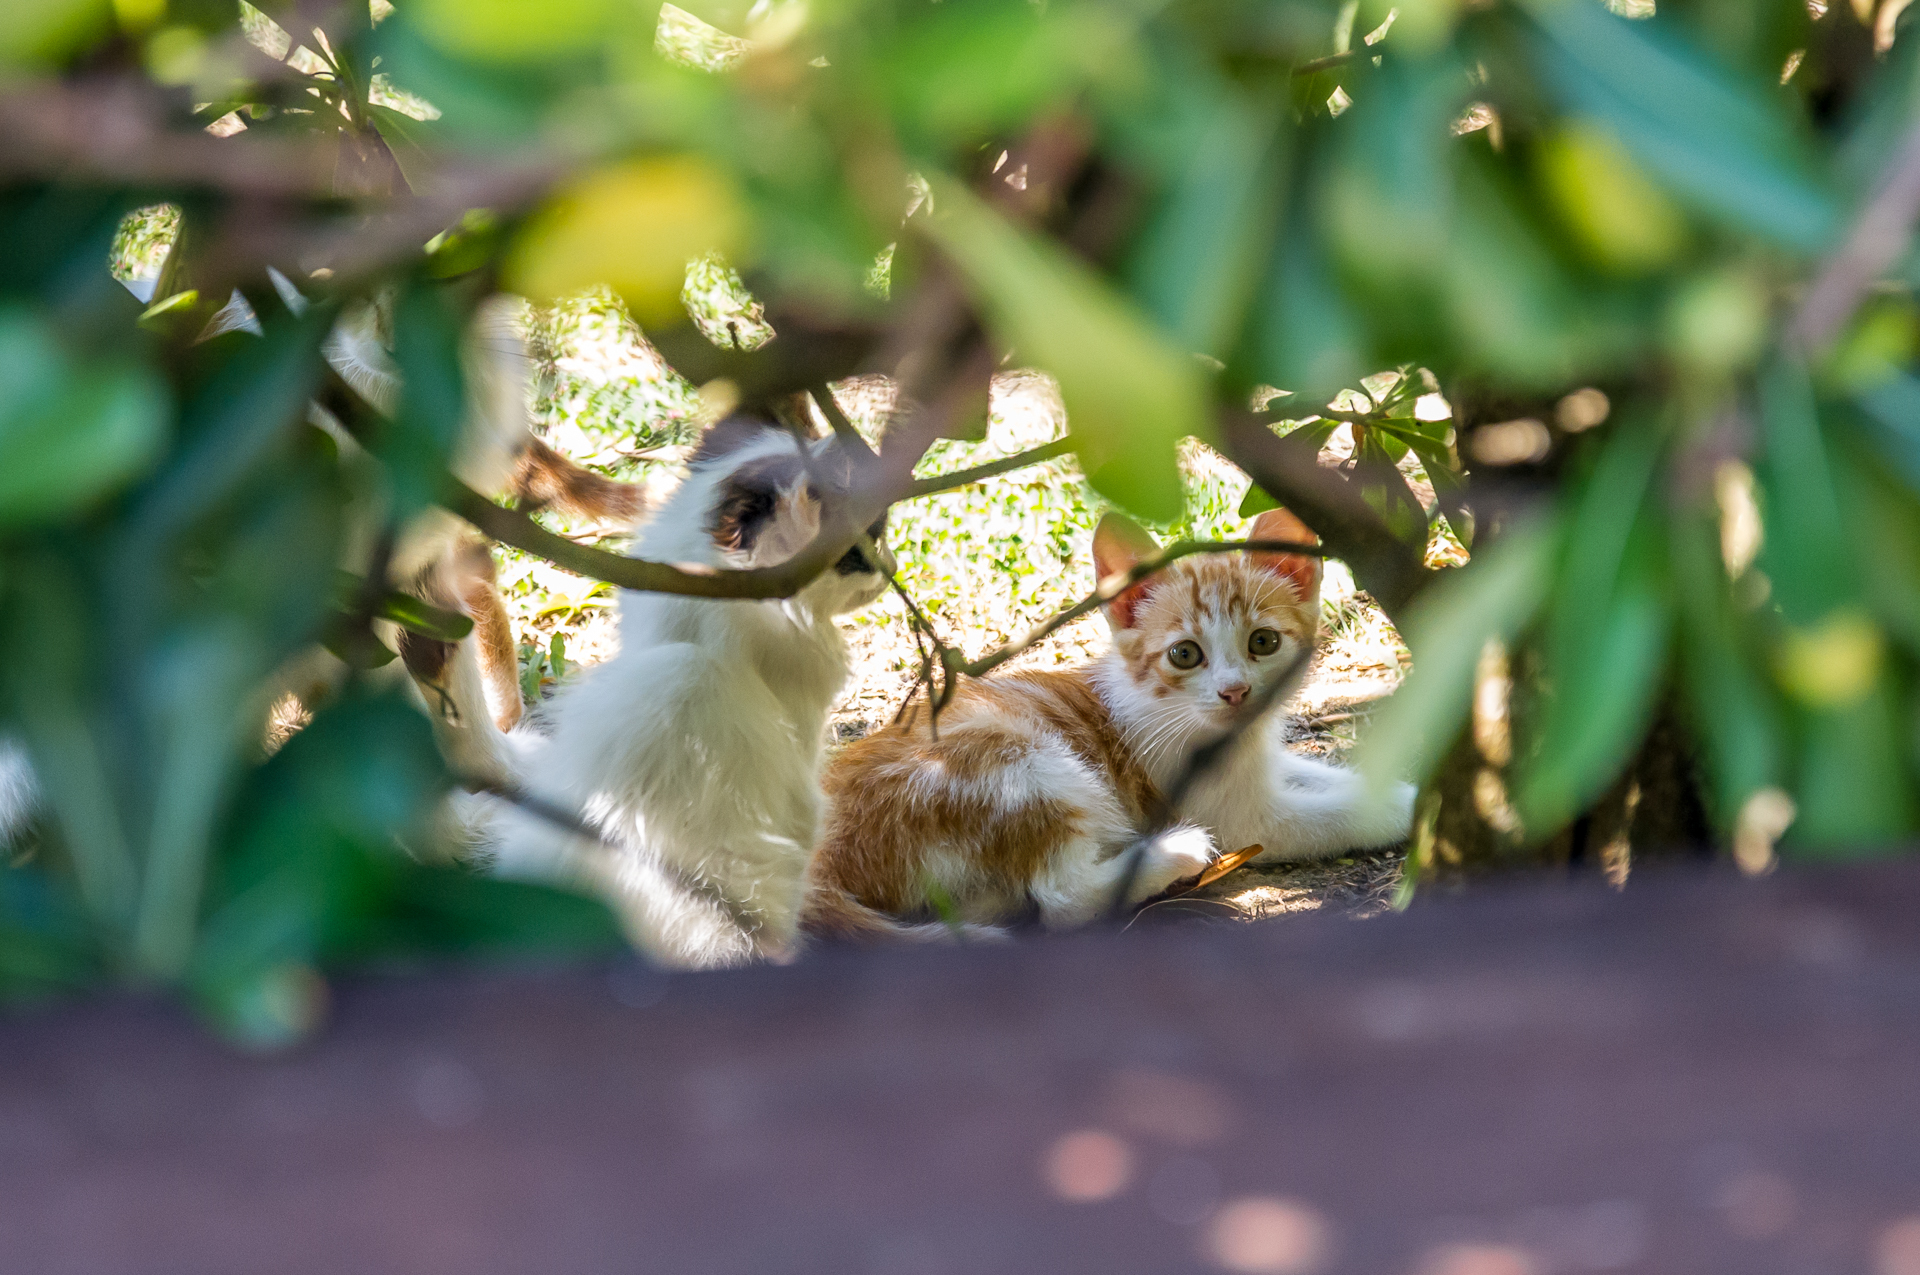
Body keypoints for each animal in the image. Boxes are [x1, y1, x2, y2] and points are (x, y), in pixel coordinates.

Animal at [802, 506, 1420, 937]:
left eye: (1263, 642)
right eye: (1185, 655)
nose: (1236, 691)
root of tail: (819, 860)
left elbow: (1325, 776)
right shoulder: (1240, 814)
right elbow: (1332, 816)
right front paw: (1410, 809)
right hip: (1014, 757)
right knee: (1062, 900)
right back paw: (1173, 854)